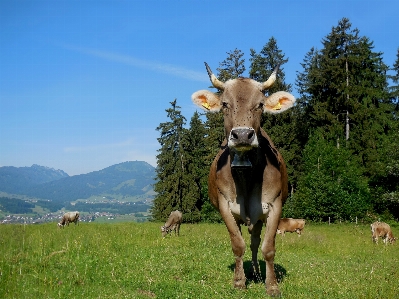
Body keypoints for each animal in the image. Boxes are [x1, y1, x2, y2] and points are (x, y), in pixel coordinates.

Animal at [192, 62, 296, 296]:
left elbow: (268, 248)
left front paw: (271, 285)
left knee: (255, 242)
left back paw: (257, 272)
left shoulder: (275, 205)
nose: (241, 135)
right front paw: (239, 281)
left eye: (260, 104)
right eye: (224, 104)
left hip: (257, 218)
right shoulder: (224, 205)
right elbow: (237, 244)